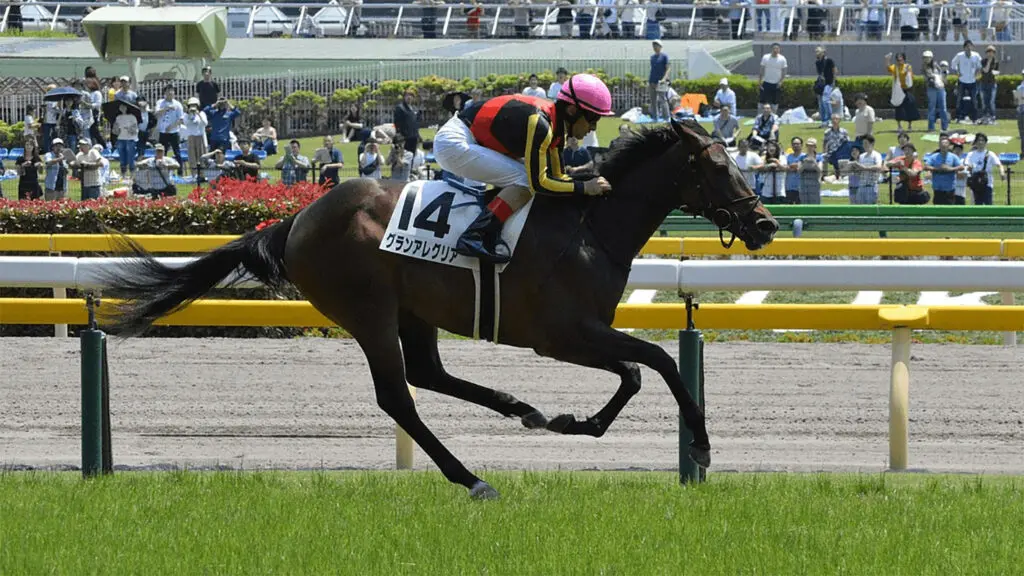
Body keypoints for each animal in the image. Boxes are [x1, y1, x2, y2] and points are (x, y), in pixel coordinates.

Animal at [95, 118, 779, 500]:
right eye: (719, 167)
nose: (766, 225)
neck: (590, 227)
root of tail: (297, 218)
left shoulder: (583, 333)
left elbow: (638, 370)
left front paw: (571, 421)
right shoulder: (563, 334)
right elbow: (654, 363)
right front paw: (699, 446)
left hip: (412, 310)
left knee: (428, 374)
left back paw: (521, 410)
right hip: (368, 311)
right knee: (399, 396)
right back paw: (473, 478)